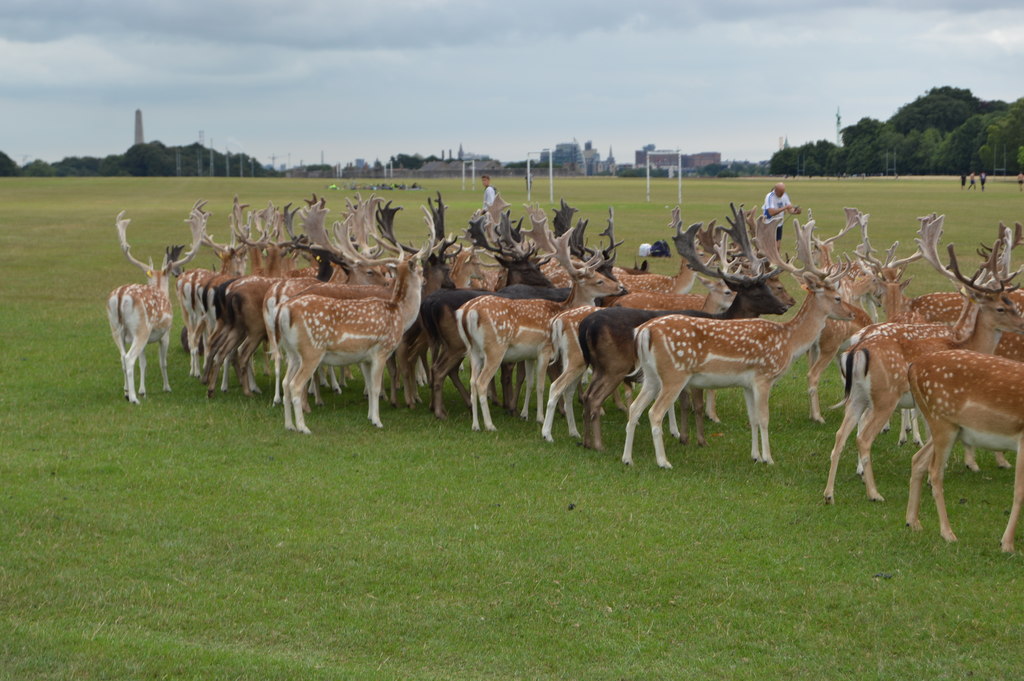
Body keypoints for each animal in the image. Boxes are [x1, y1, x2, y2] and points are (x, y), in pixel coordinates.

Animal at [107, 204, 206, 401]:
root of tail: (120, 296)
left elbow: (143, 363)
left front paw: (142, 389)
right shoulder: (165, 333)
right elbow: (163, 362)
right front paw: (166, 387)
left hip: (115, 328)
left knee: (122, 357)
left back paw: (126, 392)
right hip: (141, 329)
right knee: (129, 358)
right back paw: (134, 399)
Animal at [618, 213, 851, 466]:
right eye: (837, 298)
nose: (852, 314)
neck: (789, 342)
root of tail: (644, 331)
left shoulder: (747, 383)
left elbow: (753, 419)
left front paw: (755, 455)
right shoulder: (764, 377)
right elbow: (764, 418)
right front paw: (769, 458)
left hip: (652, 375)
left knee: (635, 409)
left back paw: (627, 458)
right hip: (674, 374)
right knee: (654, 412)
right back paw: (663, 461)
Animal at [819, 215, 1024, 501]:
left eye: (1009, 301)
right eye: (1001, 307)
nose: (1022, 322)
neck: (964, 340)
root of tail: (855, 350)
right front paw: (944, 470)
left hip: (858, 395)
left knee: (841, 435)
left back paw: (829, 493)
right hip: (885, 397)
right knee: (863, 436)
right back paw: (874, 492)